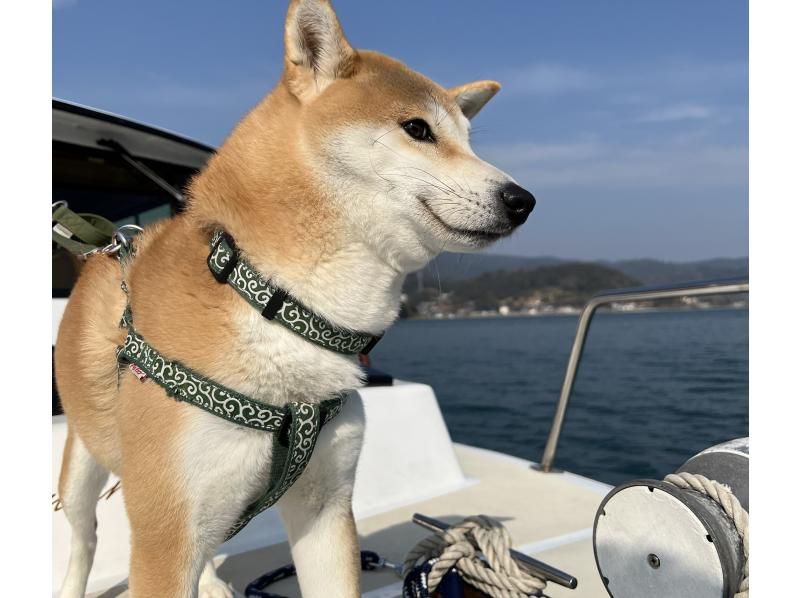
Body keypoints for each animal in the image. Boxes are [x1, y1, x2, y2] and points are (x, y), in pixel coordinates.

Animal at [53, 1, 536, 598]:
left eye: (470, 142)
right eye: (417, 129)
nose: (522, 200)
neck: (277, 304)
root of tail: (105, 249)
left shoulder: (324, 505)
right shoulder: (167, 533)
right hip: (85, 465)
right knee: (84, 538)